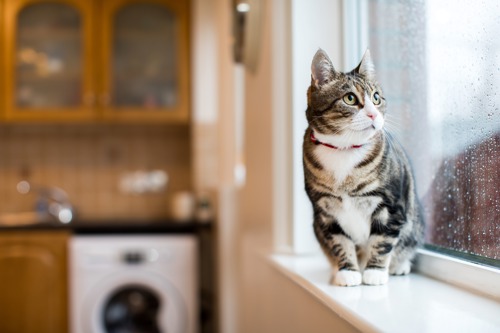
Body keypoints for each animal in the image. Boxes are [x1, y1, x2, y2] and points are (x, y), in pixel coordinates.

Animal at [302, 49, 424, 286]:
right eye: (350, 98)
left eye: (376, 97)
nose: (373, 114)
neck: (344, 149)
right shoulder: (325, 213)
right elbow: (340, 242)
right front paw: (348, 271)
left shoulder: (390, 205)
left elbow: (383, 240)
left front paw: (375, 272)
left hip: (414, 226)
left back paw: (398, 266)